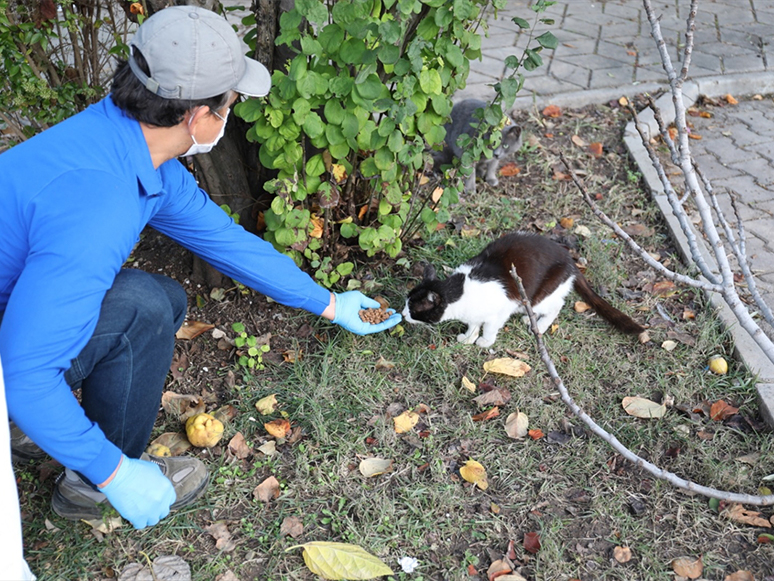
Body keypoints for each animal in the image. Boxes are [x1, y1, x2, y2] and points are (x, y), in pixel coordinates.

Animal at [404, 233, 644, 346]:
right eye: (406, 304)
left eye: (414, 309)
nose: (404, 314)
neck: (460, 290)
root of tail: (570, 259)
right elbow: (473, 324)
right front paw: (468, 337)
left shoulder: (500, 310)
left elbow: (489, 327)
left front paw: (484, 342)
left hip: (541, 293)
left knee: (557, 304)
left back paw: (538, 324)